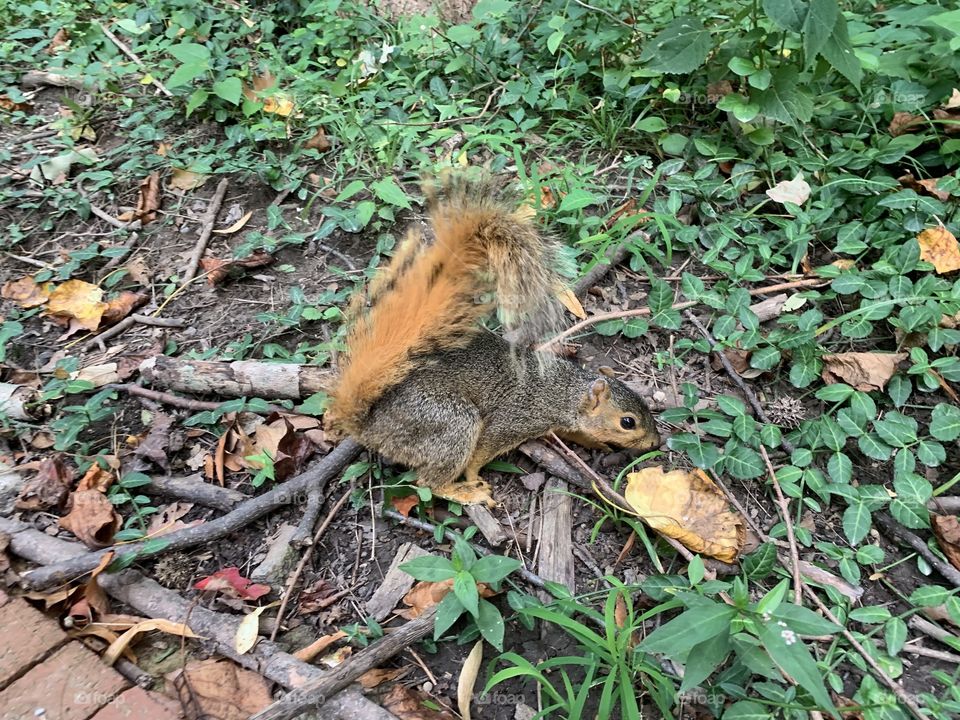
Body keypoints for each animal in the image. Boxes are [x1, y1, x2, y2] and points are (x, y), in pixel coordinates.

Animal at [325, 178, 660, 507]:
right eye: (628, 422)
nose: (655, 442)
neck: (565, 390)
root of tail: (372, 426)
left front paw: (597, 443)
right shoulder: (514, 419)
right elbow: (483, 450)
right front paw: (473, 476)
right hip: (451, 422)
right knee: (429, 483)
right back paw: (465, 492)